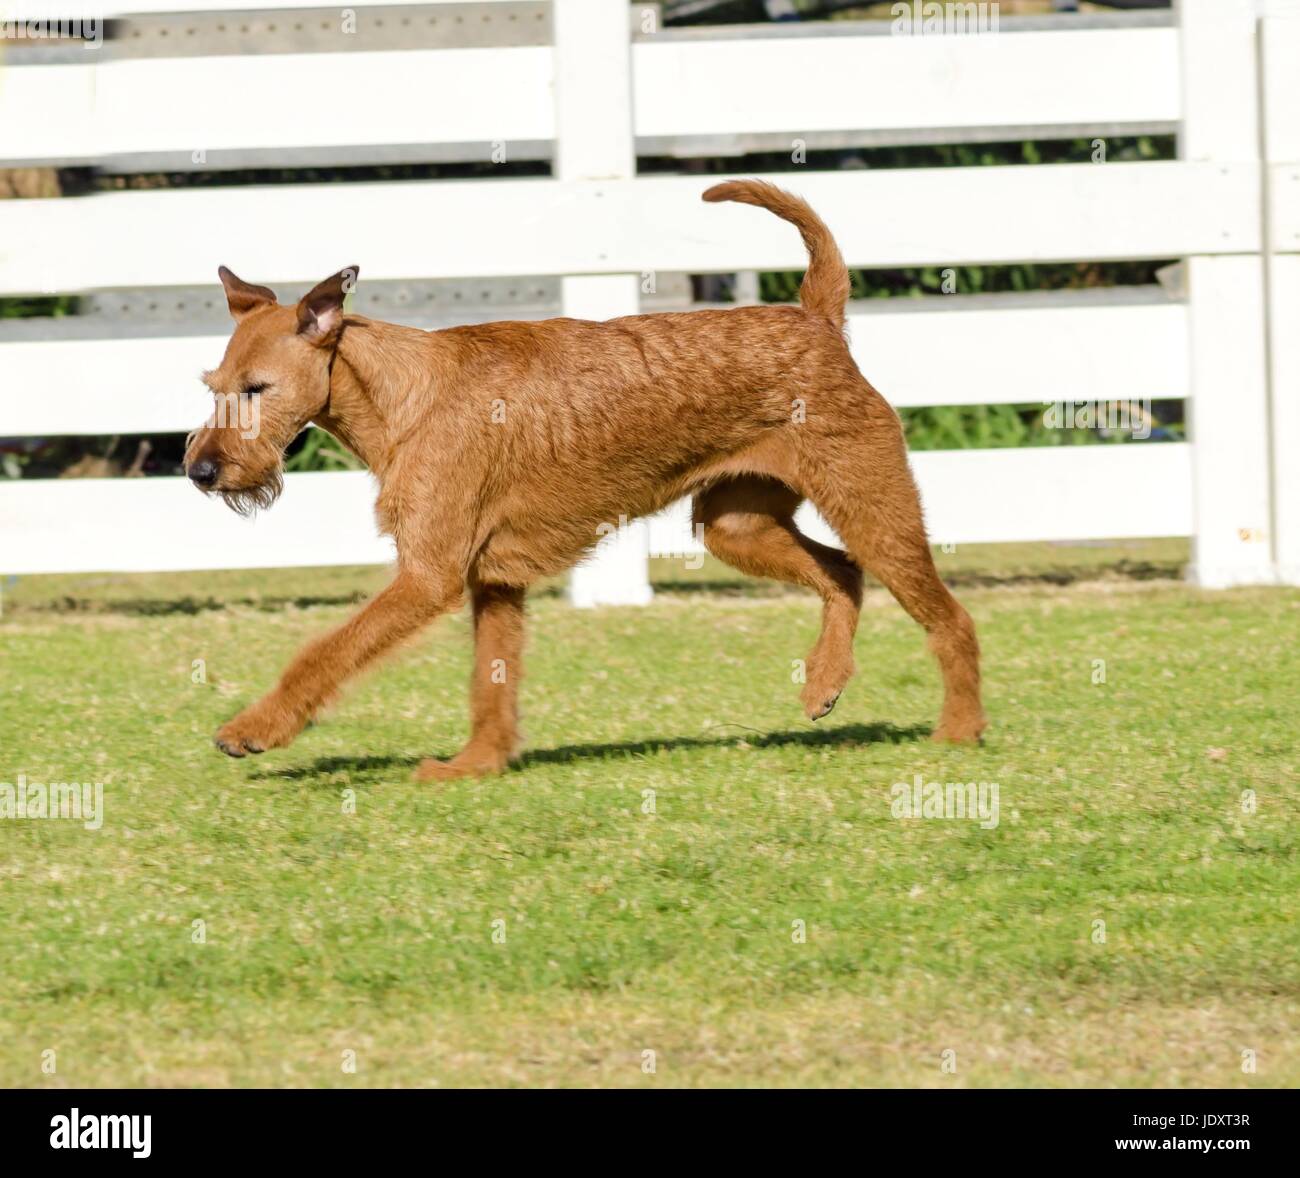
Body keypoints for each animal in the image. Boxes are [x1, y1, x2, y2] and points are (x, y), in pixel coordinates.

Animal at [185, 179, 982, 774]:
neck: (402, 395)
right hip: (735, 525)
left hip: (871, 504)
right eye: (213, 385)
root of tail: (818, 317)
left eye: (256, 389)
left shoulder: (427, 576)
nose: (198, 469)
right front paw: (476, 766)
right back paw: (824, 683)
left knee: (948, 618)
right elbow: (491, 684)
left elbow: (323, 653)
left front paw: (254, 727)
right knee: (841, 573)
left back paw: (959, 731)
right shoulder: (492, 580)